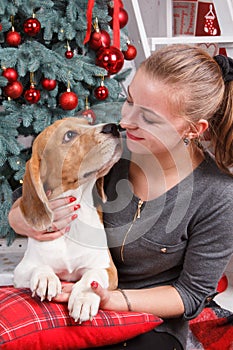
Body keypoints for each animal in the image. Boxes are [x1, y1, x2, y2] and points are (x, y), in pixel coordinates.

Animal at [13, 117, 122, 322]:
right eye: (69, 135)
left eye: (89, 122)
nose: (114, 127)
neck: (75, 225)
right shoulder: (21, 270)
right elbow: (38, 267)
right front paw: (45, 277)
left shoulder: (107, 268)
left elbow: (92, 276)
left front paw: (84, 298)